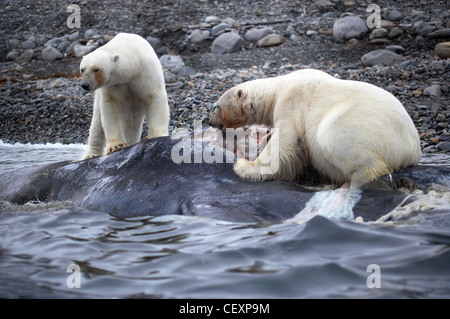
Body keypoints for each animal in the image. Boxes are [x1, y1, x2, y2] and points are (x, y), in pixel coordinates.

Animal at [78, 32, 170, 160]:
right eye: (82, 69)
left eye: (96, 69)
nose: (85, 85)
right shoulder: (114, 85)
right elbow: (111, 107)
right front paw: (116, 146)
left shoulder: (147, 73)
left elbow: (155, 98)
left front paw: (156, 137)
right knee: (97, 123)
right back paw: (91, 154)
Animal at [211, 69, 422, 224]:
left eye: (216, 106)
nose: (210, 121)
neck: (278, 89)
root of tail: (413, 148)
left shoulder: (291, 104)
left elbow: (285, 141)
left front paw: (245, 166)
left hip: (366, 127)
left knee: (336, 140)